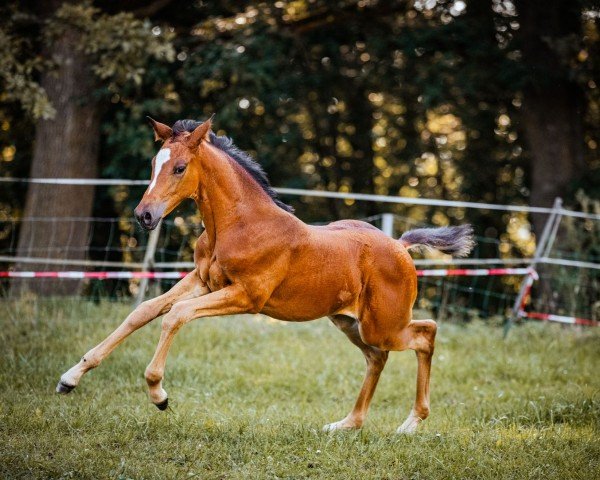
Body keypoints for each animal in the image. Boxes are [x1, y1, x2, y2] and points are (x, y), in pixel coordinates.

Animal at [57, 117, 474, 436]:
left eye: (179, 168)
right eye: (152, 166)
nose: (144, 216)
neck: (240, 224)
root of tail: (400, 246)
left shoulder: (246, 296)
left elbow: (175, 316)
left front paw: (159, 395)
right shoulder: (201, 281)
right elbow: (143, 311)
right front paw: (69, 379)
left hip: (383, 324)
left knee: (425, 333)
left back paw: (410, 424)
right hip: (348, 321)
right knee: (377, 358)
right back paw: (346, 424)